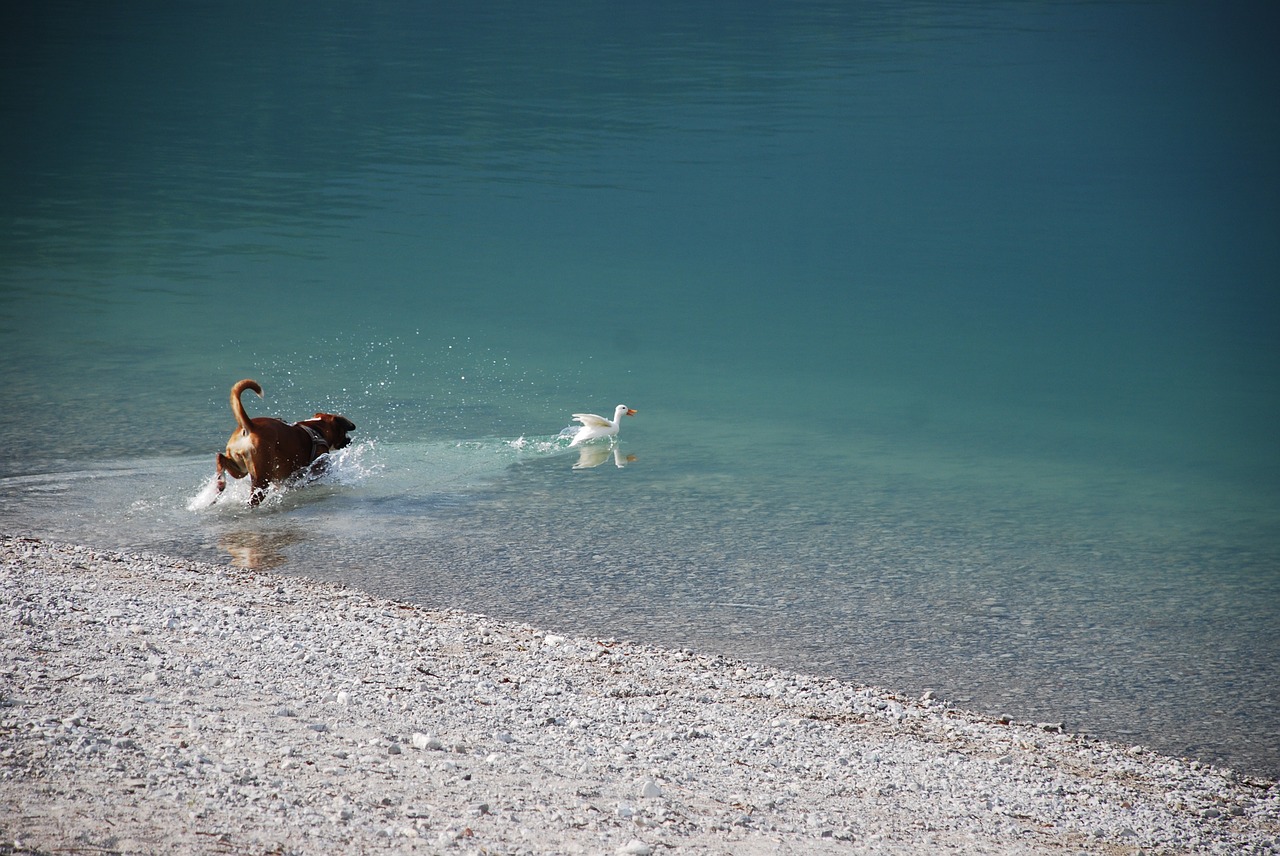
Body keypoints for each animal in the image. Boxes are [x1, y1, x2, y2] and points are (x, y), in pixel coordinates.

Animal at [215, 378, 355, 504]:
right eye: (344, 431)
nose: (350, 440)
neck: (317, 428)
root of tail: (251, 426)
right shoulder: (318, 467)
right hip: (262, 477)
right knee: (253, 499)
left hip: (240, 468)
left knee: (220, 457)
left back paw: (220, 483)